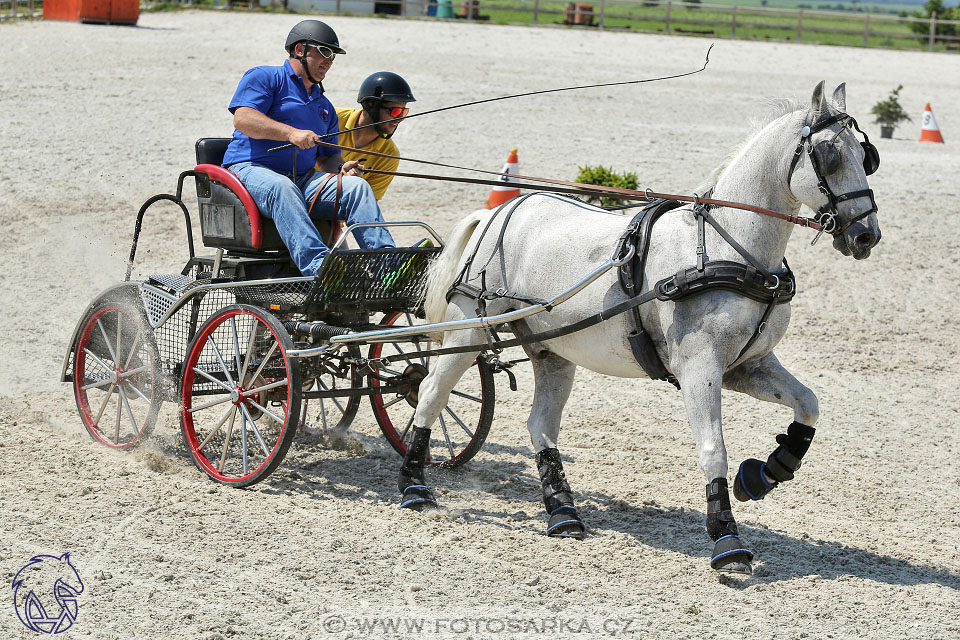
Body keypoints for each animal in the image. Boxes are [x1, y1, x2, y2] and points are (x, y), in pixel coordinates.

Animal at [396, 81, 876, 576]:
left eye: (866, 156)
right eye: (829, 155)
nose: (866, 235)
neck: (727, 247)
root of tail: (501, 210)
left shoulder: (749, 365)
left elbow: (808, 405)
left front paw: (765, 473)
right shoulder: (699, 369)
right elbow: (714, 448)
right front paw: (727, 539)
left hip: (552, 351)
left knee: (541, 424)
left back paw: (563, 513)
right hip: (467, 332)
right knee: (430, 393)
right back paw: (415, 486)